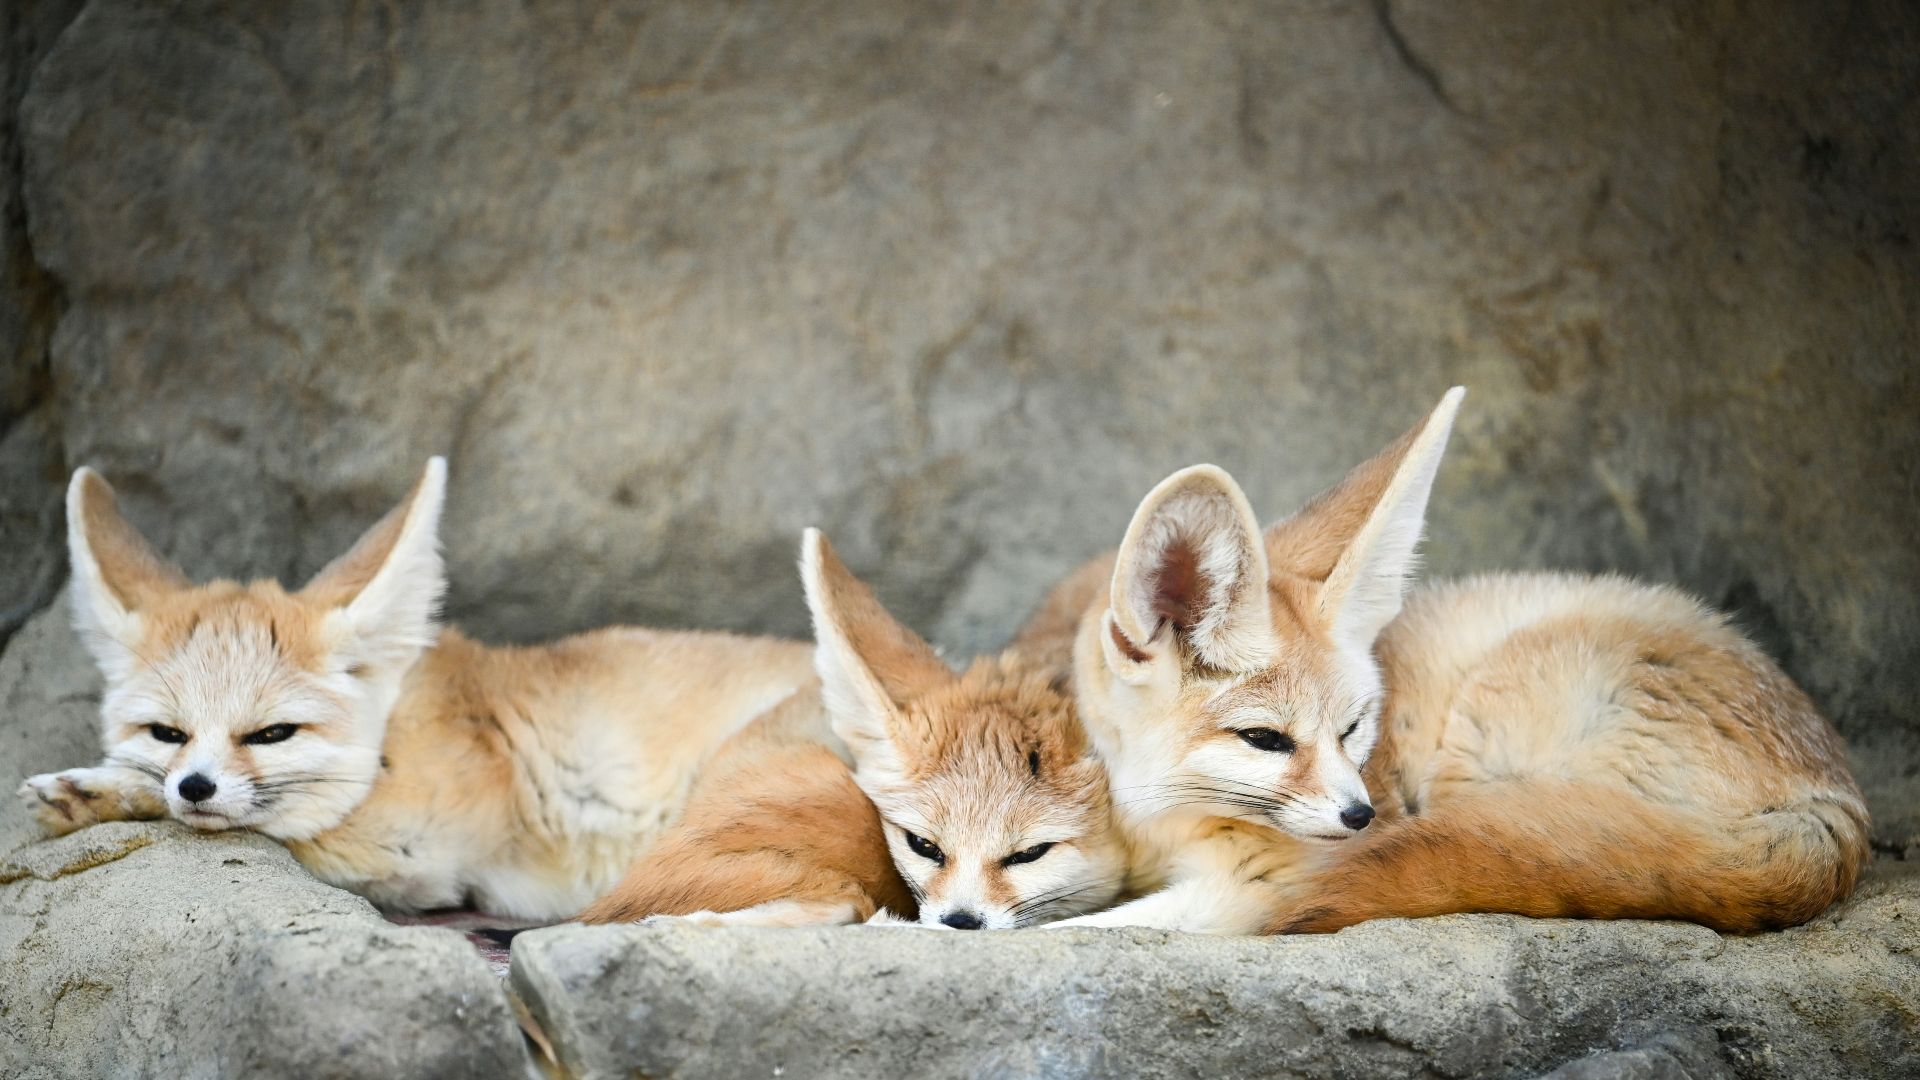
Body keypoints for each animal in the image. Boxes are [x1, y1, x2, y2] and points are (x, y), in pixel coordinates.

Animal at [16, 458, 819, 920]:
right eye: (168, 732)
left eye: (272, 734)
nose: (196, 785)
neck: (399, 725)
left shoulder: (420, 849)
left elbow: (286, 818)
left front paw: (106, 790)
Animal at [1016, 387, 1871, 935]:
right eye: (1265, 740)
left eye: (1354, 727)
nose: (1362, 816)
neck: (1159, 814)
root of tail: (1836, 801)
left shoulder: (1250, 883)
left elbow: (1072, 932)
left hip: (1486, 715)